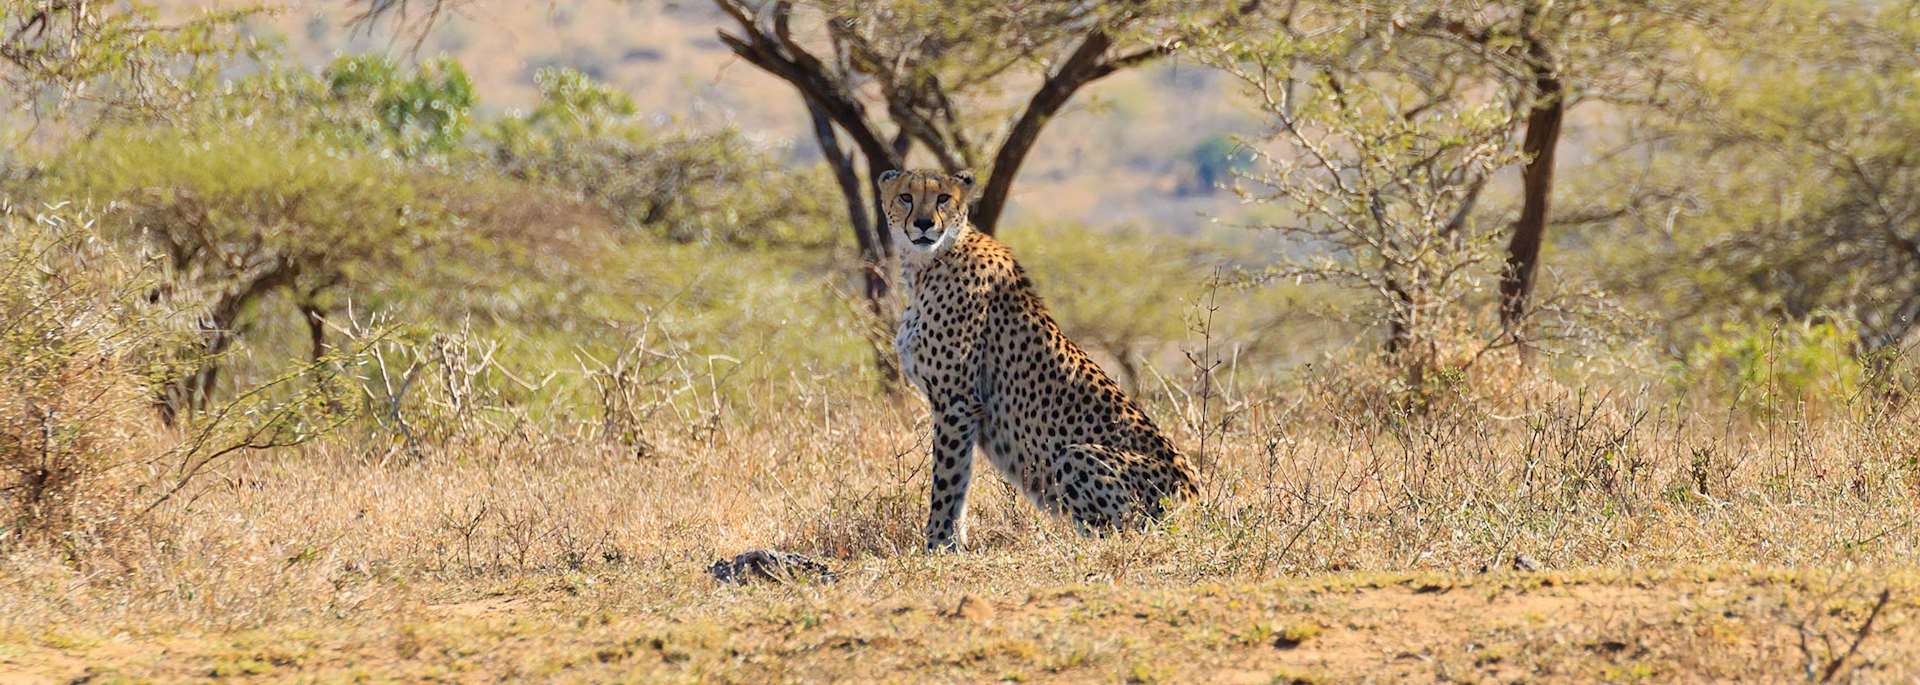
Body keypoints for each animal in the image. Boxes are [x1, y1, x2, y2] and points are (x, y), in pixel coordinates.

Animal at [879, 168, 1198, 552]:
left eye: (943, 198)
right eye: (906, 197)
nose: (925, 224)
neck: (929, 262)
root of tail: (1196, 500)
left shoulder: (956, 401)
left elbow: (947, 480)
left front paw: (937, 544)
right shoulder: (963, 407)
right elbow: (960, 481)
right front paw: (953, 544)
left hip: (1076, 456)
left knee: (1119, 529)